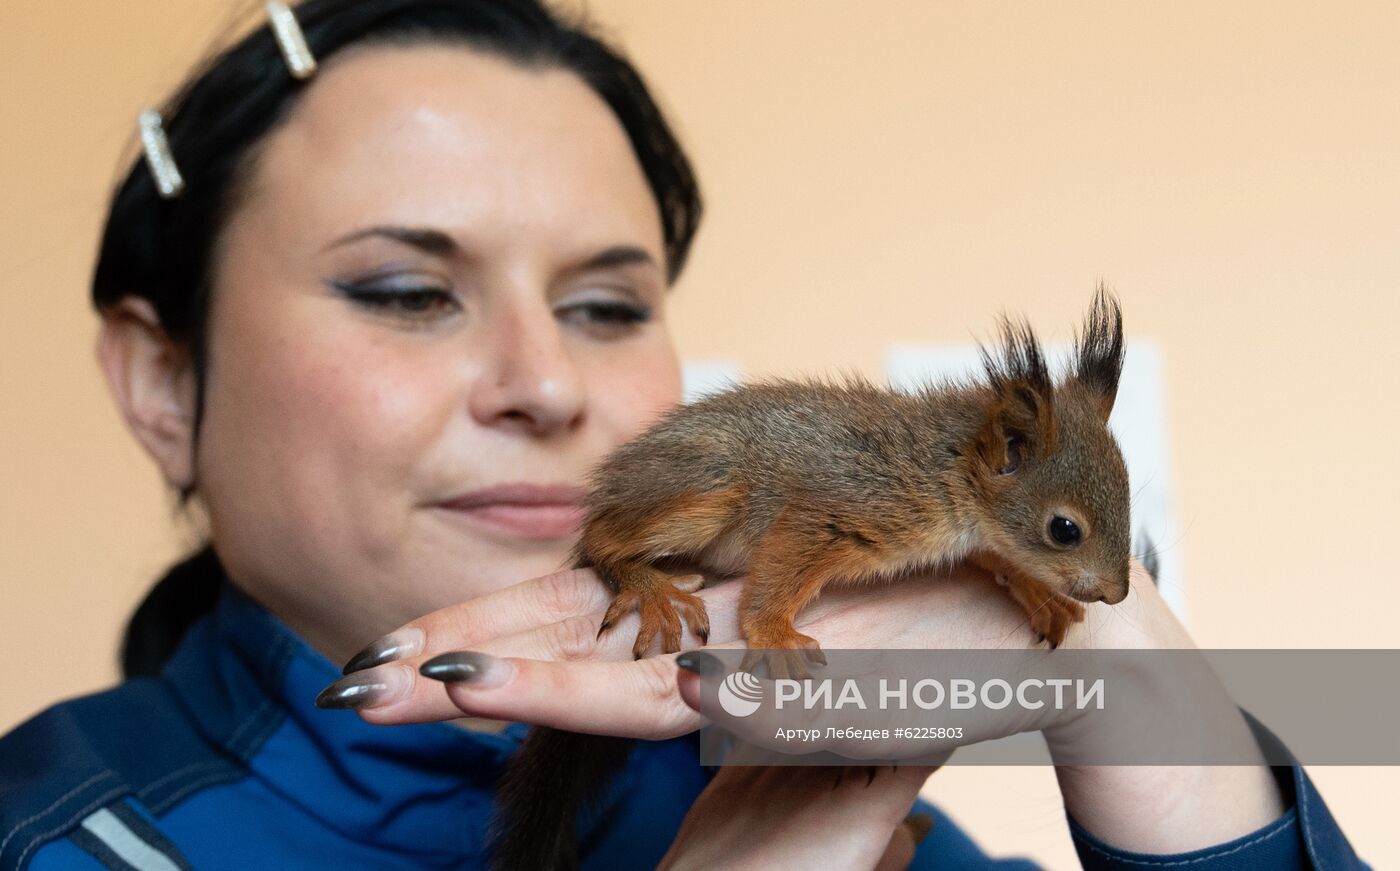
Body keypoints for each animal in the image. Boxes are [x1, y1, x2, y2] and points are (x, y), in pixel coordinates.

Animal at [487, 288, 1131, 871]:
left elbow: (992, 559)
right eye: (1064, 529)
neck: (948, 468)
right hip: (707, 483)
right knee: (603, 539)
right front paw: (773, 633)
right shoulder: (842, 508)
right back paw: (650, 588)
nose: (1118, 593)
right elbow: (785, 562)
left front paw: (1040, 594)